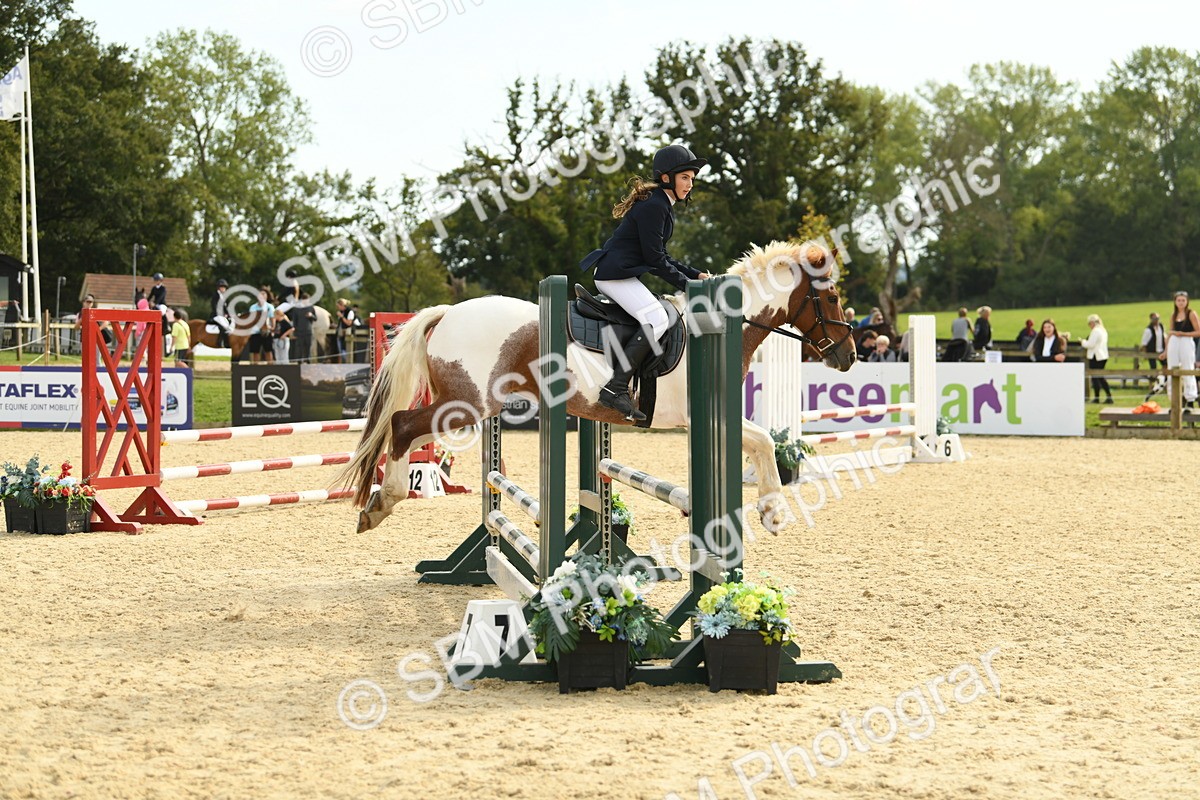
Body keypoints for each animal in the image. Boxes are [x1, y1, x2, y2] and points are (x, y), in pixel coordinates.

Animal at [340, 240, 857, 533]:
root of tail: (448, 311)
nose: (848, 356)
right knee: (403, 427)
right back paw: (382, 504)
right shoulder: (705, 415)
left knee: (410, 434)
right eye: (831, 296)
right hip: (465, 405)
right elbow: (765, 440)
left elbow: (761, 442)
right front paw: (773, 513)